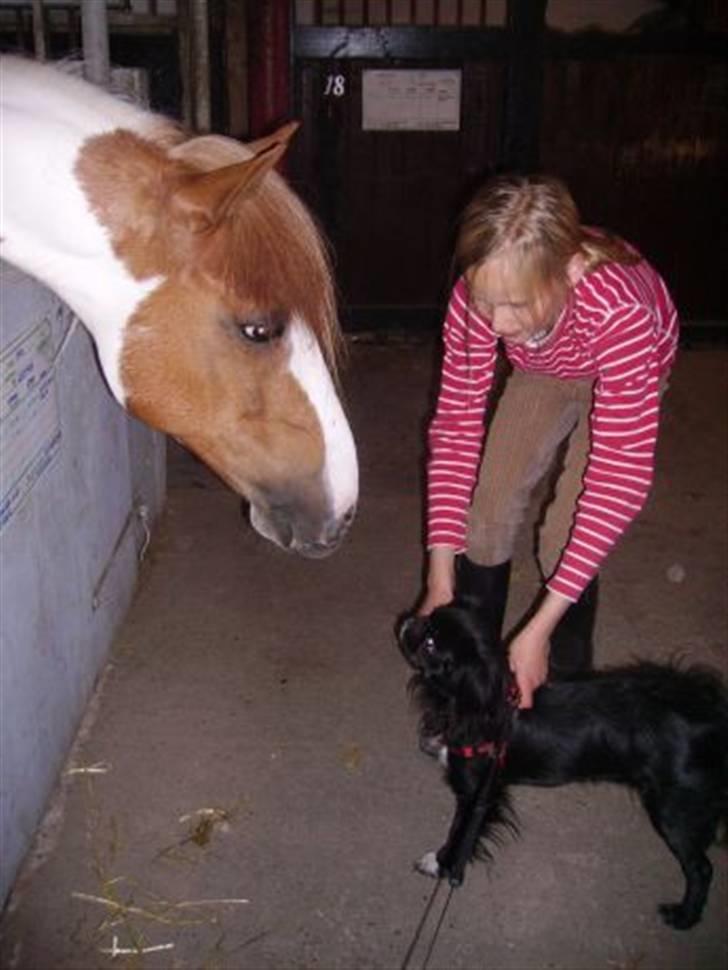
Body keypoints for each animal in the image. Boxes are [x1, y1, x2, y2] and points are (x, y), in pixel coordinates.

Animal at [398, 604, 728, 932]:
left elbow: (460, 832)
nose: (407, 621)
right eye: (431, 615)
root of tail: (710, 715)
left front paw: (439, 863)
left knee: (701, 869)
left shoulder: (477, 794)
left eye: (430, 644)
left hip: (674, 812)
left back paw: (684, 916)